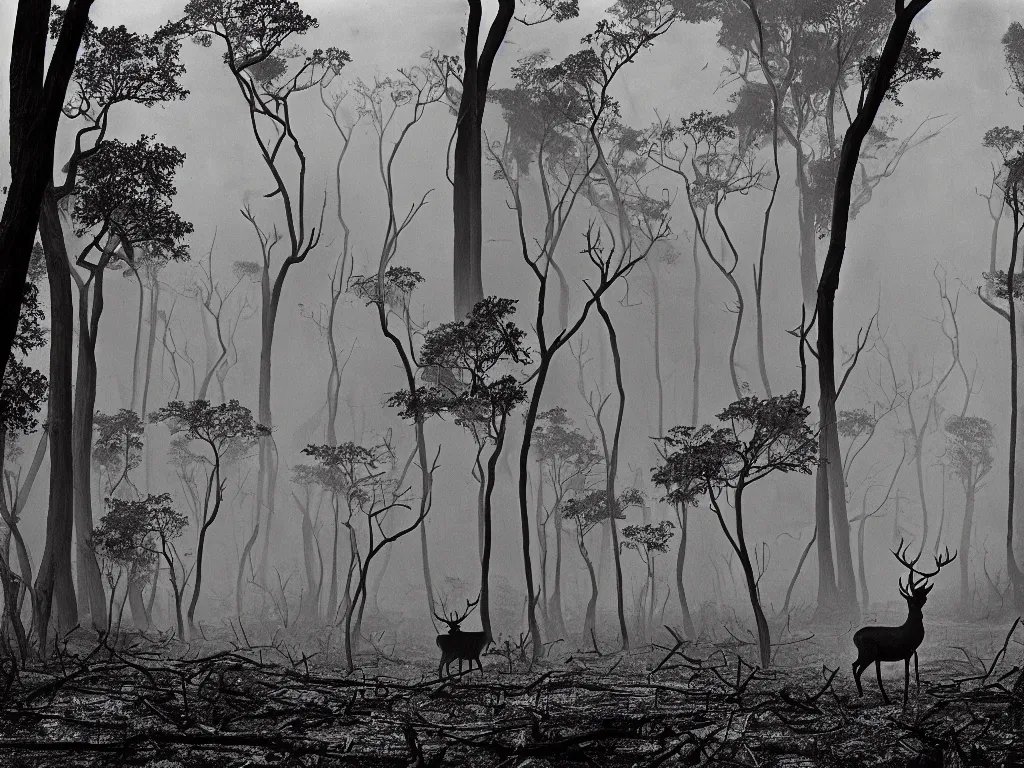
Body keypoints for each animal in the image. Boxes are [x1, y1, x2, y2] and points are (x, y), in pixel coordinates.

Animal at [851, 536, 954, 708]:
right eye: (916, 598)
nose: (925, 595)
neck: (911, 632)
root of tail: (854, 637)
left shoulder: (911, 652)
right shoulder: (906, 651)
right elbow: (906, 677)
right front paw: (905, 702)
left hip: (867, 653)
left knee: (854, 665)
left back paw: (875, 696)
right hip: (869, 652)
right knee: (858, 669)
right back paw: (862, 694)